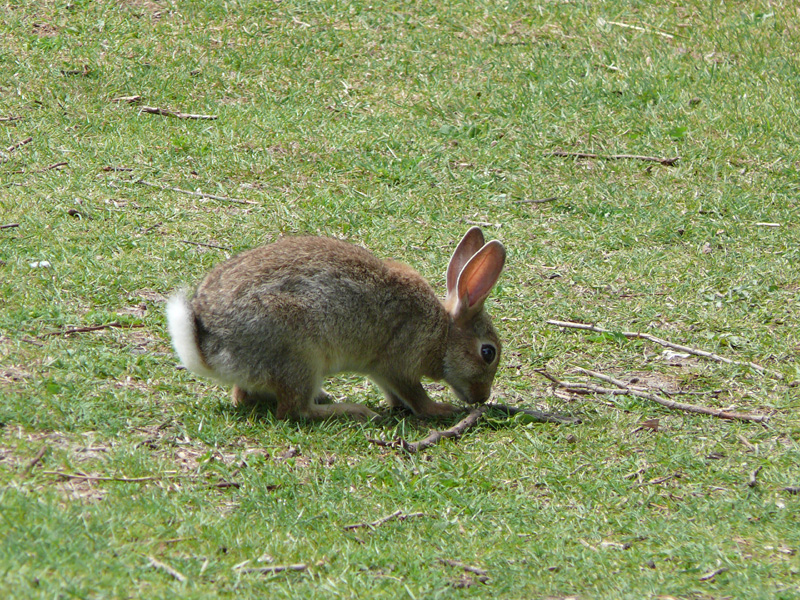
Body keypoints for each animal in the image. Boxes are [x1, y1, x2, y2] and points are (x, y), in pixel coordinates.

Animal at [166, 226, 506, 422]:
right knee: (293, 411)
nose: (482, 397)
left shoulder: (383, 371)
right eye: (487, 352)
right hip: (300, 353)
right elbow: (415, 395)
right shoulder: (398, 363)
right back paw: (352, 410)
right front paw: (441, 410)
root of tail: (210, 347)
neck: (444, 334)